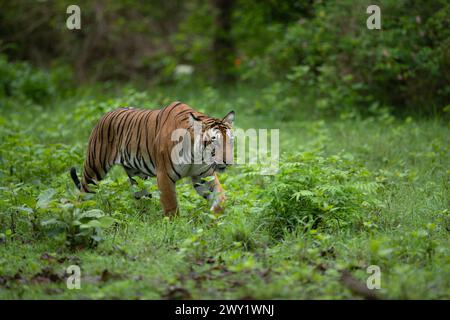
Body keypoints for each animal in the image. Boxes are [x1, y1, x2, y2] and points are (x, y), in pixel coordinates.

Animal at [70, 101, 236, 216]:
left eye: (231, 140)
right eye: (214, 141)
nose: (228, 162)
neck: (196, 155)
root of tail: (105, 114)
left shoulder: (204, 176)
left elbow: (220, 197)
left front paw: (215, 217)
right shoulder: (164, 176)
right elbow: (171, 207)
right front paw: (175, 227)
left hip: (137, 176)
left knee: (141, 196)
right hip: (94, 168)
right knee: (83, 193)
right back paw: (82, 215)